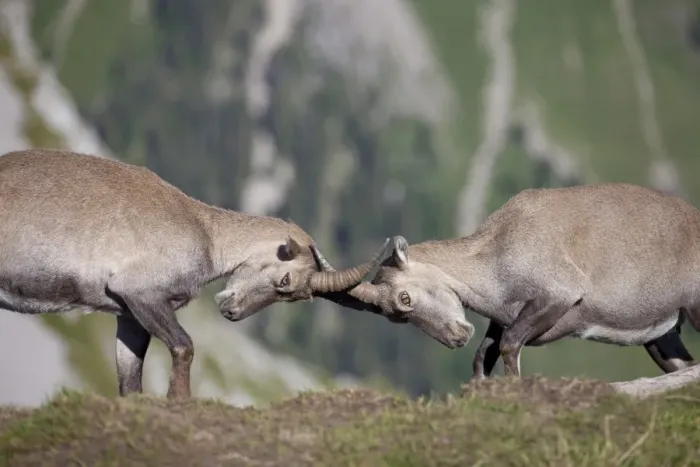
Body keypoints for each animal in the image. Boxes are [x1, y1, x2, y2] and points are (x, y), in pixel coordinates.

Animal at [0, 148, 389, 399]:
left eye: (295, 296)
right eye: (285, 281)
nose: (232, 312)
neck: (206, 232)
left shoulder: (129, 313)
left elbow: (130, 381)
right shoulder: (139, 291)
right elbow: (184, 347)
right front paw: (180, 400)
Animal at [313, 183, 700, 380]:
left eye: (404, 298)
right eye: (396, 317)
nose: (456, 338)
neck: (497, 252)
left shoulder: (558, 294)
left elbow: (511, 345)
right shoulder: (503, 317)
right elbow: (482, 357)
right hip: (662, 336)